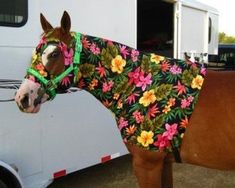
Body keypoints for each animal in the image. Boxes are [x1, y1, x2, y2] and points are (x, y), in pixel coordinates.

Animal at [14, 11, 235, 188]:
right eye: (35, 52)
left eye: (54, 53)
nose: (22, 98)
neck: (142, 85)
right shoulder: (164, 163)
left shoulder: (147, 165)